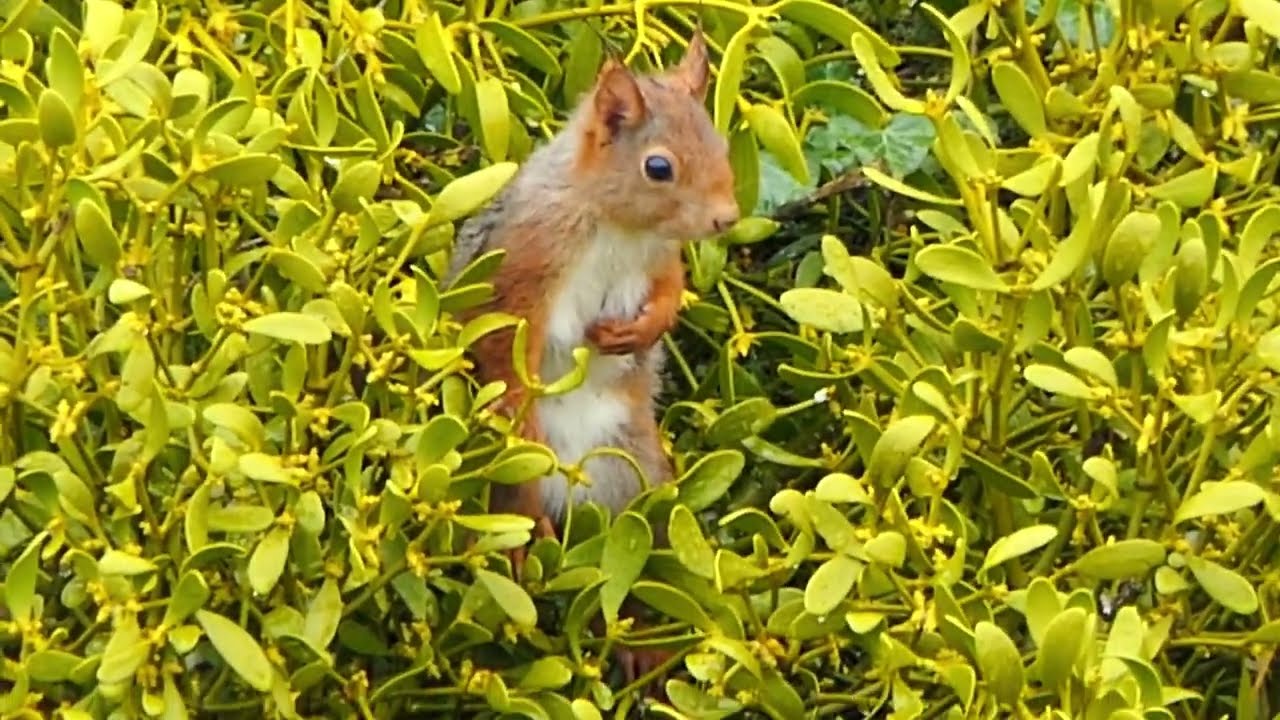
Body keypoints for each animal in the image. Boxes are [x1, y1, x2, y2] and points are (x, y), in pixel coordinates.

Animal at [443, 29, 739, 691]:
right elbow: (504, 352)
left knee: (628, 558)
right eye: (658, 167)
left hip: (633, 478)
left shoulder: (659, 259)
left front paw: (639, 330)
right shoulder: (524, 267)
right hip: (513, 481)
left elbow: (670, 291)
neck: (617, 227)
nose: (726, 218)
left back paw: (642, 646)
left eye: (721, 143)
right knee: (520, 508)